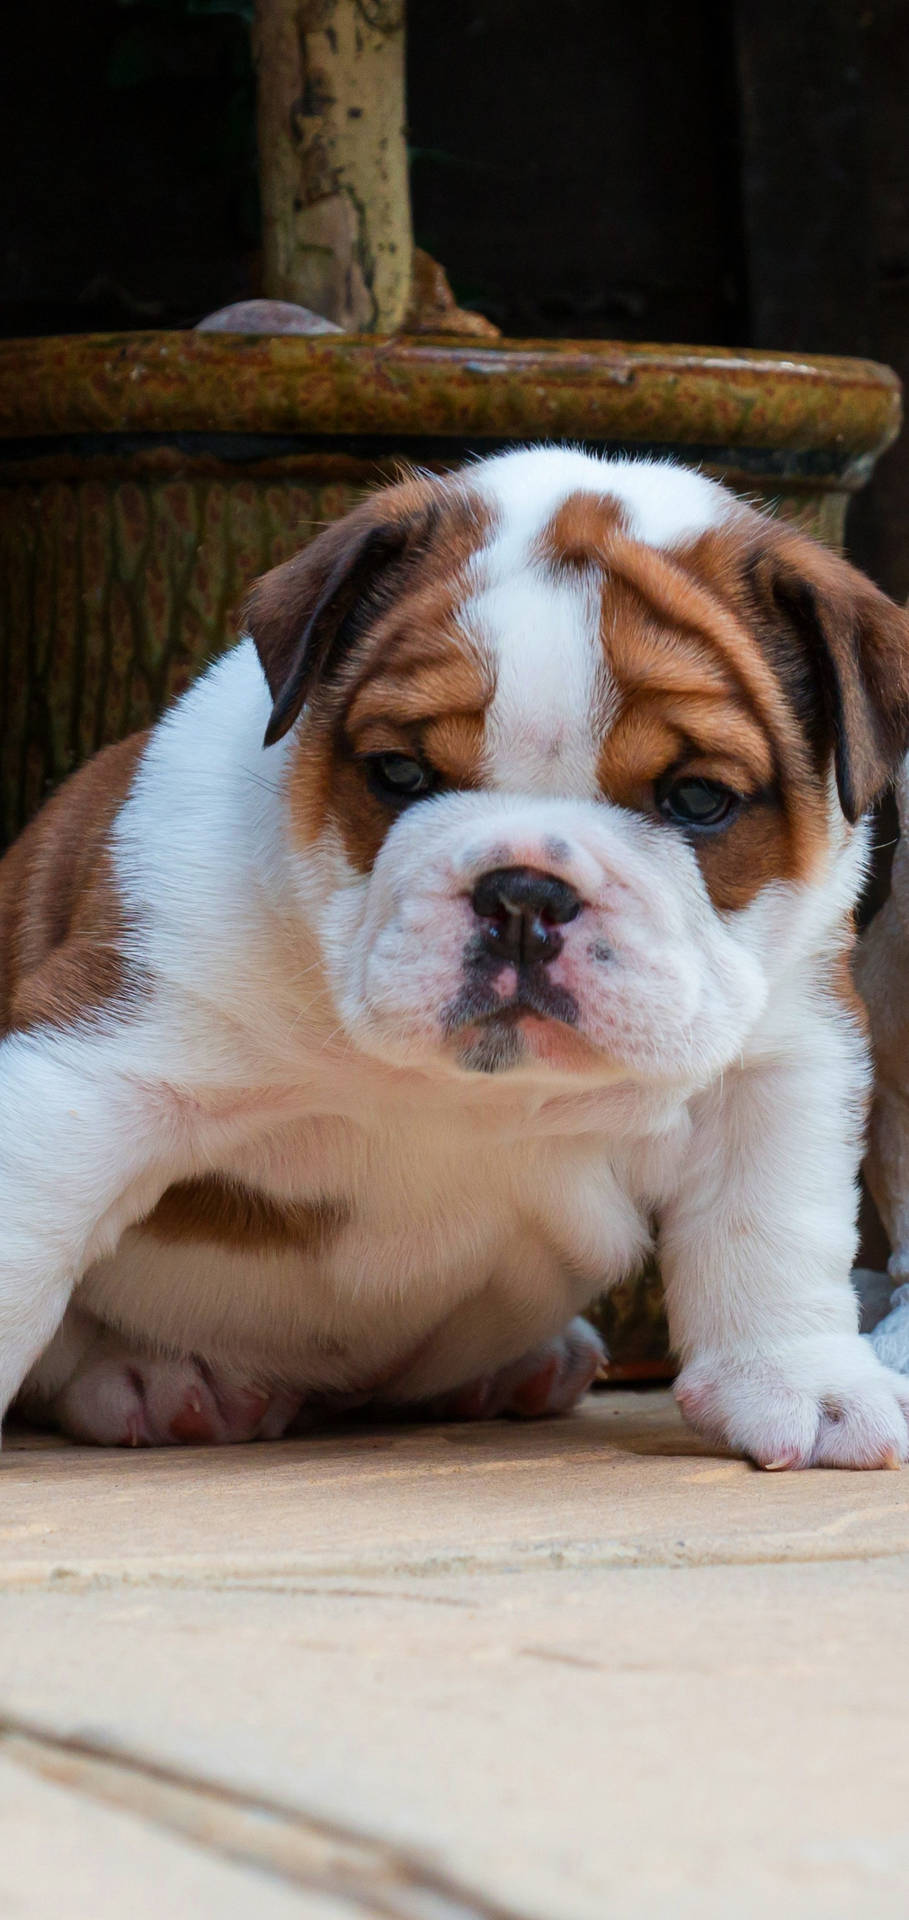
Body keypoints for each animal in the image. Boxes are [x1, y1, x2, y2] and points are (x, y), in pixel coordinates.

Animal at [5, 453, 907, 1466]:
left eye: (698, 799)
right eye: (399, 774)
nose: (524, 894)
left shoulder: (781, 1055)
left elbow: (773, 1224)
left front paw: (806, 1383)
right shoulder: (93, 1071)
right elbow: (23, 1247)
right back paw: (152, 1380)